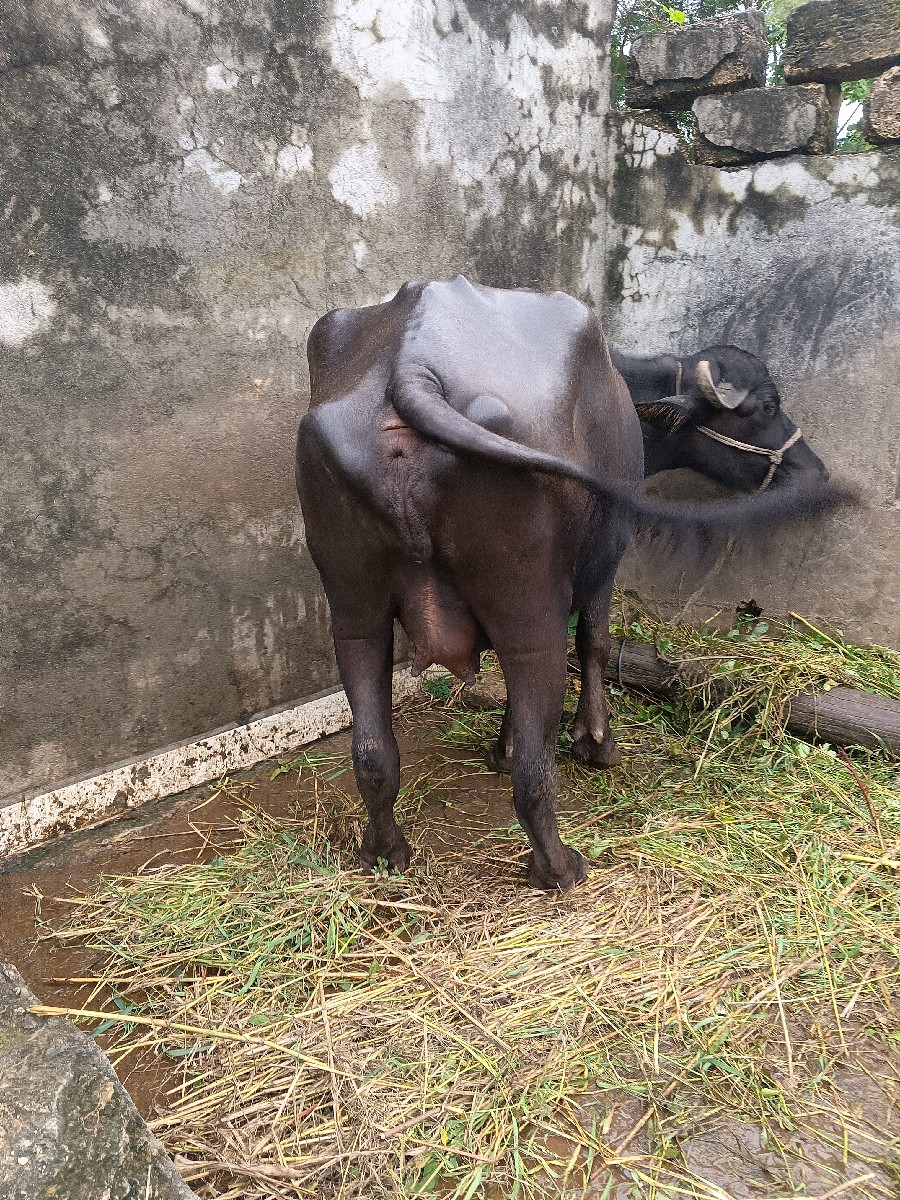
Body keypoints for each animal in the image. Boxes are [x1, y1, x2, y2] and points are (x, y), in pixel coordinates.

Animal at [296, 277, 839, 891]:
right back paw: (558, 865)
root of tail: (412, 368)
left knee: (372, 753)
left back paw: (386, 850)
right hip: (529, 604)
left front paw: (503, 746)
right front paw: (594, 740)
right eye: (766, 405)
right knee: (536, 772)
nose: (815, 469)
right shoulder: (607, 561)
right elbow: (595, 643)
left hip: (354, 610)